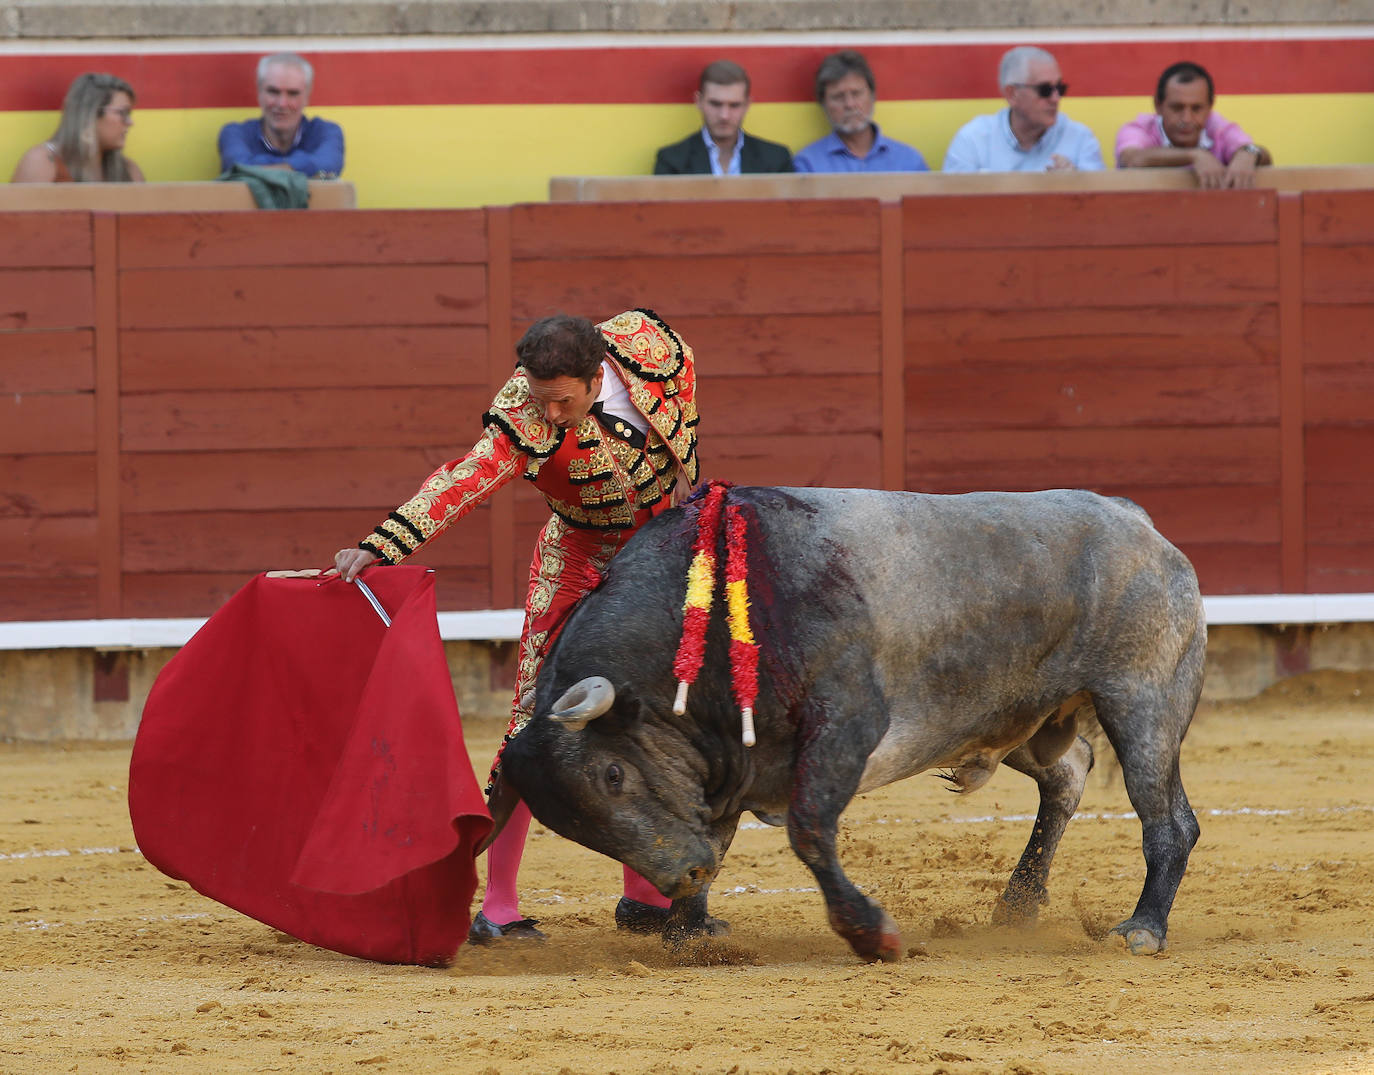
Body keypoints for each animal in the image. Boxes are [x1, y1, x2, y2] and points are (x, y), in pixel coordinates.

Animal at [491, 489, 1203, 967]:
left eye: (612, 774)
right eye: (571, 824)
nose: (681, 876)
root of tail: (1136, 521)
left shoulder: (846, 728)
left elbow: (808, 830)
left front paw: (871, 934)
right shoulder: (723, 766)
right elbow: (720, 835)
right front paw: (686, 932)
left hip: (1142, 700)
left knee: (1169, 820)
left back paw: (1143, 928)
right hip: (1017, 715)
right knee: (1070, 770)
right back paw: (1018, 904)